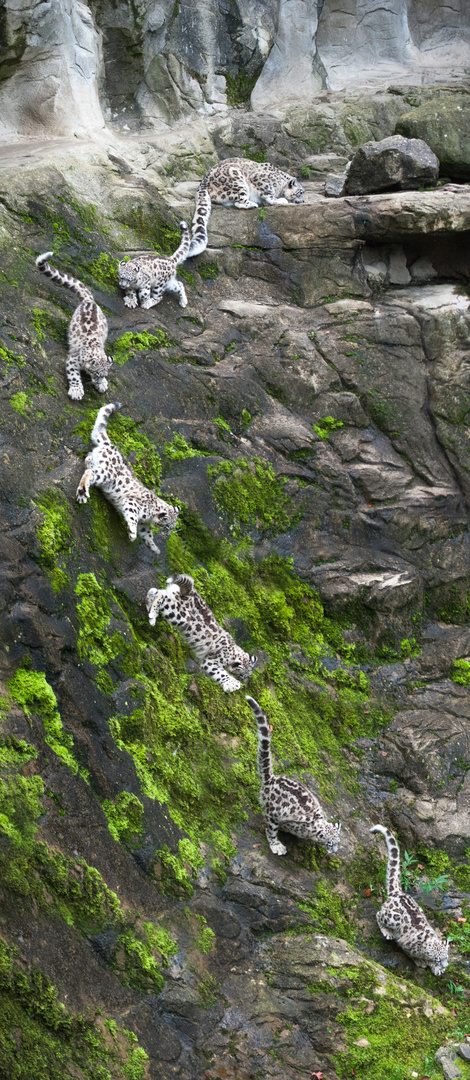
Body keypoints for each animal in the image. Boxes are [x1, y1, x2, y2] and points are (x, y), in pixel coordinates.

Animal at [35, 251, 112, 401]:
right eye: (97, 374)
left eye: (105, 374)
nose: (99, 381)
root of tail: (89, 301)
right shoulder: (73, 360)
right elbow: (74, 375)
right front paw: (77, 391)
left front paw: (103, 385)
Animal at [77, 406, 180, 557]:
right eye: (167, 526)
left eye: (172, 527)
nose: (167, 535)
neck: (149, 518)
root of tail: (111, 446)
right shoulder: (132, 504)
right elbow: (132, 518)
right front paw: (132, 533)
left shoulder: (144, 525)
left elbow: (147, 535)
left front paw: (155, 548)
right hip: (106, 474)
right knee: (90, 473)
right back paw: (82, 492)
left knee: (88, 459)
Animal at [246, 695, 341, 855]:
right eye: (329, 843)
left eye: (338, 842)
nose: (334, 851)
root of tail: (271, 779)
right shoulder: (280, 818)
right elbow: (272, 829)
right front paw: (278, 841)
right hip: (272, 811)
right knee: (270, 828)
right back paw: (276, 845)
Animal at [371, 825, 449, 980]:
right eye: (438, 959)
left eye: (447, 957)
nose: (445, 965)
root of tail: (398, 893)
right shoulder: (406, 945)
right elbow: (412, 954)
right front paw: (422, 961)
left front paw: (437, 969)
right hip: (392, 918)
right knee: (378, 914)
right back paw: (387, 931)